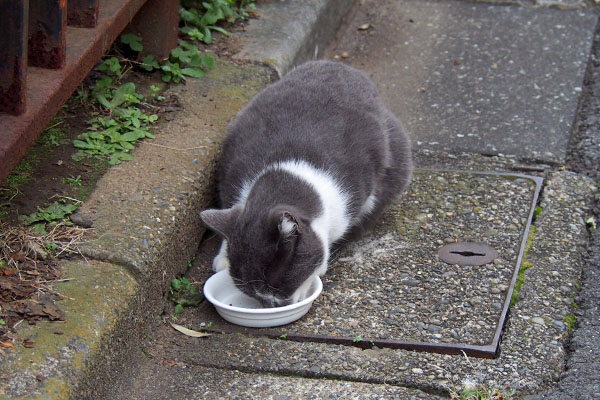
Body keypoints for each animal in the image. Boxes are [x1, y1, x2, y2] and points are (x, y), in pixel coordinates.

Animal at [202, 61, 412, 308]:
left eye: (279, 284)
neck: (286, 173)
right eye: (252, 293)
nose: (272, 305)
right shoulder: (231, 172)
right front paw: (224, 257)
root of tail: (340, 66)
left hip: (397, 156)